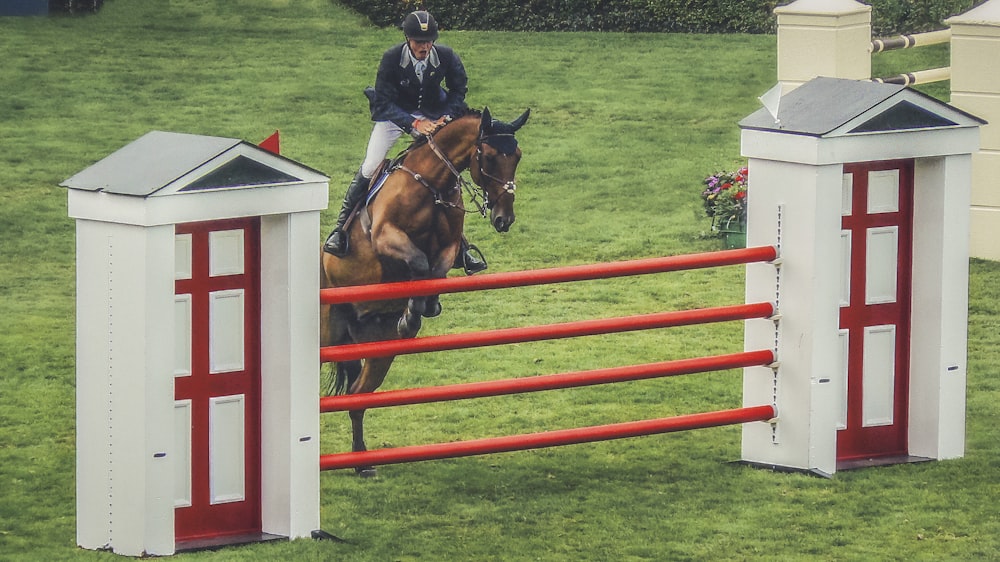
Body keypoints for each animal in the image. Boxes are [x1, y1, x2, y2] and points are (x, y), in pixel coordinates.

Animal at [322, 105, 532, 472]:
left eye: (517, 155)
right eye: (490, 157)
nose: (504, 219)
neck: (433, 185)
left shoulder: (448, 247)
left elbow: (436, 271)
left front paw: (422, 308)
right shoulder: (386, 236)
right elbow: (419, 263)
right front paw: (410, 316)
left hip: (379, 349)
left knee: (357, 394)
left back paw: (362, 461)